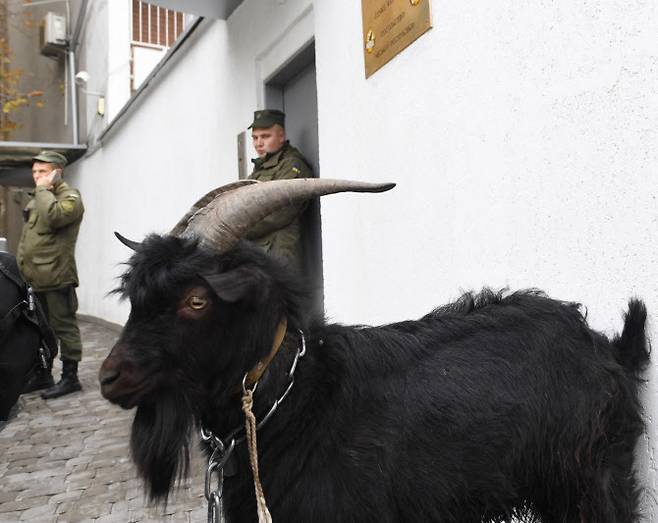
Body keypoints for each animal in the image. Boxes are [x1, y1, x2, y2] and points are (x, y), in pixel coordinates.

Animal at [101, 233, 644, 523]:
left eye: (197, 300)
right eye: (134, 298)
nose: (110, 376)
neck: (297, 403)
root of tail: (606, 343)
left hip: (589, 478)